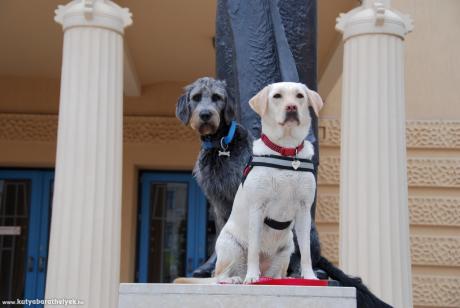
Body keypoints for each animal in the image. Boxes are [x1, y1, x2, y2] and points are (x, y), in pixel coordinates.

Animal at [176, 81, 324, 284]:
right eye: (277, 96)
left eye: (300, 96)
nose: (291, 107)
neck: (286, 151)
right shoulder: (253, 207)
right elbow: (254, 248)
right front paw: (252, 276)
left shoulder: (303, 210)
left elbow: (306, 251)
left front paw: (309, 276)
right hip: (230, 245)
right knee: (221, 275)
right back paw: (235, 278)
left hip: (285, 252)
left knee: (279, 271)